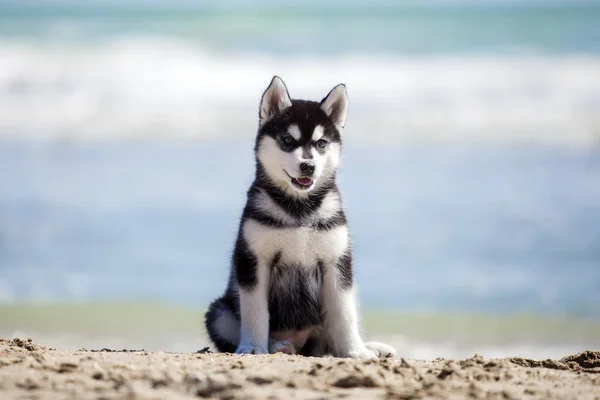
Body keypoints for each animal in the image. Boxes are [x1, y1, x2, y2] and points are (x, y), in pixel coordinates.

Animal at [204, 76, 396, 358]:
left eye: (321, 143)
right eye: (287, 139)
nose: (308, 166)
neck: (299, 210)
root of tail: (301, 343)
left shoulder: (337, 263)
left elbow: (345, 314)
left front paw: (355, 351)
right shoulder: (253, 259)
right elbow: (255, 311)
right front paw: (253, 346)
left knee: (334, 338)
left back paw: (371, 347)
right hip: (219, 312)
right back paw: (277, 345)